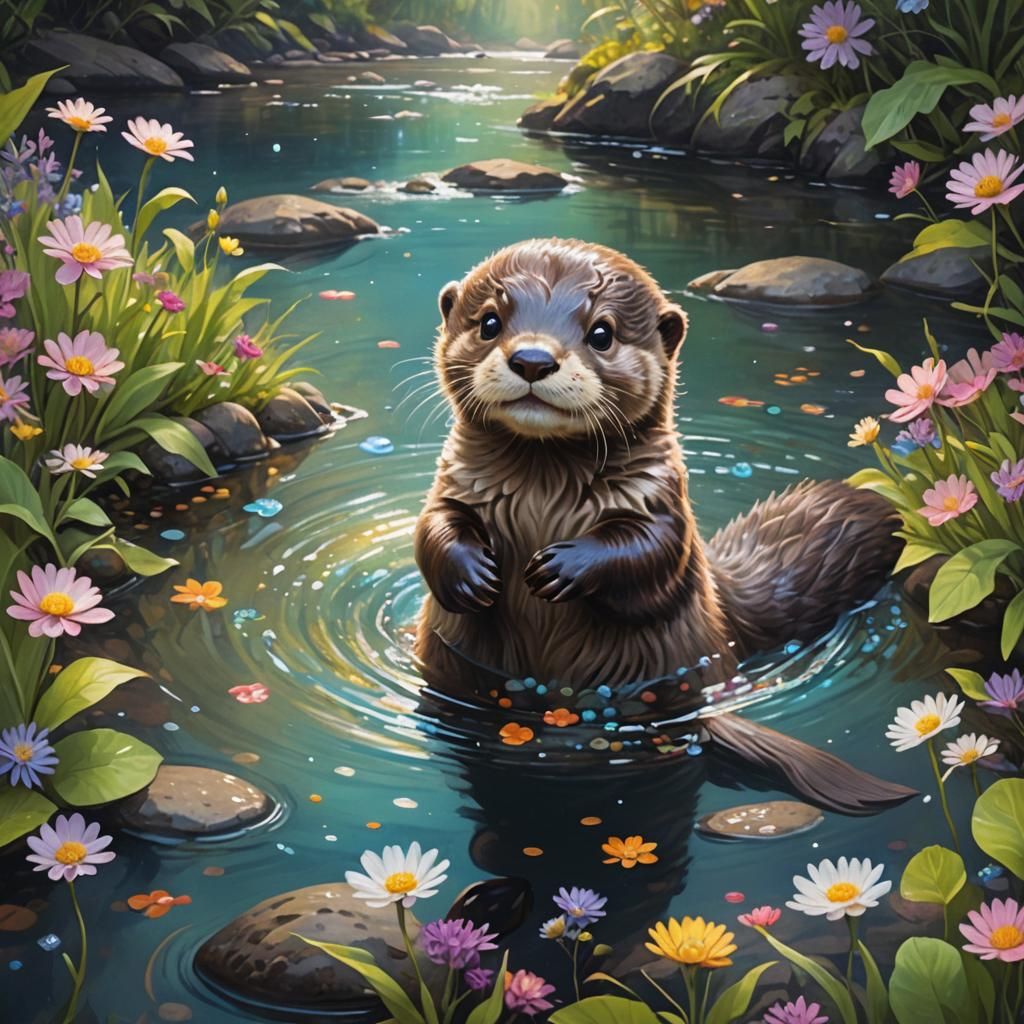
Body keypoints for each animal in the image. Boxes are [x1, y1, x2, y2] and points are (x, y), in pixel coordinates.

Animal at [414, 238, 913, 814]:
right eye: (490, 322)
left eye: (601, 333)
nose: (533, 359)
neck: (543, 494)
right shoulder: (455, 483)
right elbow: (433, 527)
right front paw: (472, 575)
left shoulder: (661, 499)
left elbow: (649, 552)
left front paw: (561, 566)